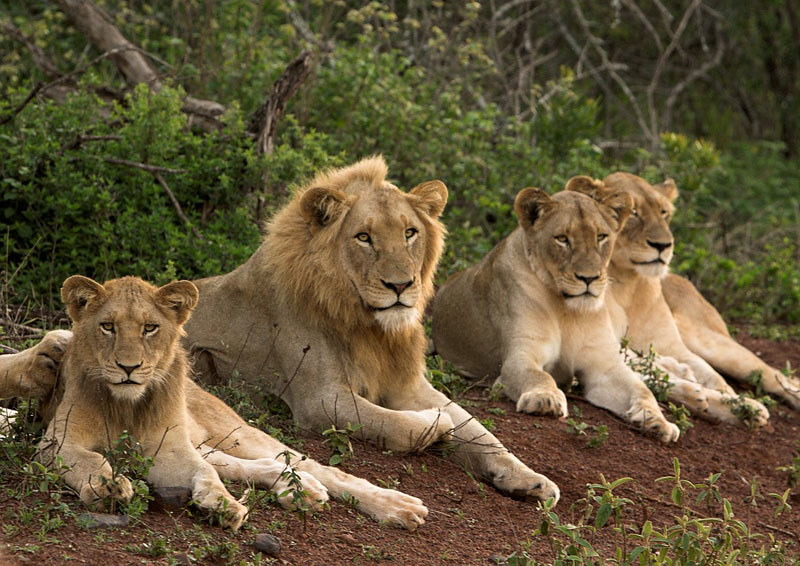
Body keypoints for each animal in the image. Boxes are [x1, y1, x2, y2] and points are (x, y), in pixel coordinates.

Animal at [38, 275, 429, 531]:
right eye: (108, 326)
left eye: (150, 328)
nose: (129, 367)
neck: (126, 405)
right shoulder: (56, 443)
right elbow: (91, 459)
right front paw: (109, 487)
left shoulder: (171, 452)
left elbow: (204, 474)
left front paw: (222, 504)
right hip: (207, 442)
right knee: (256, 465)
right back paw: (300, 490)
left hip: (234, 431)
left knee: (321, 468)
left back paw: (397, 506)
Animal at [184, 156, 560, 504]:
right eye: (363, 238)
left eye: (410, 233)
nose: (401, 285)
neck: (374, 330)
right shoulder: (319, 398)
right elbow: (395, 422)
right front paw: (437, 426)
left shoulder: (408, 384)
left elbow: (479, 430)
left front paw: (528, 478)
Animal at [431, 185, 680, 443]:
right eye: (562, 239)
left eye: (601, 237)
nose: (589, 278)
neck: (568, 310)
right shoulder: (519, 357)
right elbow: (540, 376)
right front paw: (545, 398)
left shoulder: (604, 367)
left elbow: (643, 389)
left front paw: (658, 421)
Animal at [599, 171, 798, 413]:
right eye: (633, 212)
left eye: (663, 212)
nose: (664, 245)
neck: (629, 284)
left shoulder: (671, 345)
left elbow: (709, 375)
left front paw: (730, 400)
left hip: (709, 341)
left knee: (774, 374)